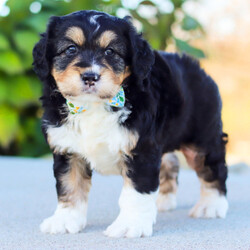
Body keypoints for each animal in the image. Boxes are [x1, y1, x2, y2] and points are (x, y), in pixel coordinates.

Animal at [32, 10, 229, 238]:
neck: (93, 105)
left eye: (110, 51)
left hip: (202, 139)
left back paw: (211, 205)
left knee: (213, 168)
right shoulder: (67, 149)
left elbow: (136, 192)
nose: (90, 76)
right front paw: (65, 220)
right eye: (71, 49)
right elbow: (70, 186)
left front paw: (130, 225)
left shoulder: (141, 150)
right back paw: (164, 201)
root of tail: (199, 69)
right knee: (170, 162)